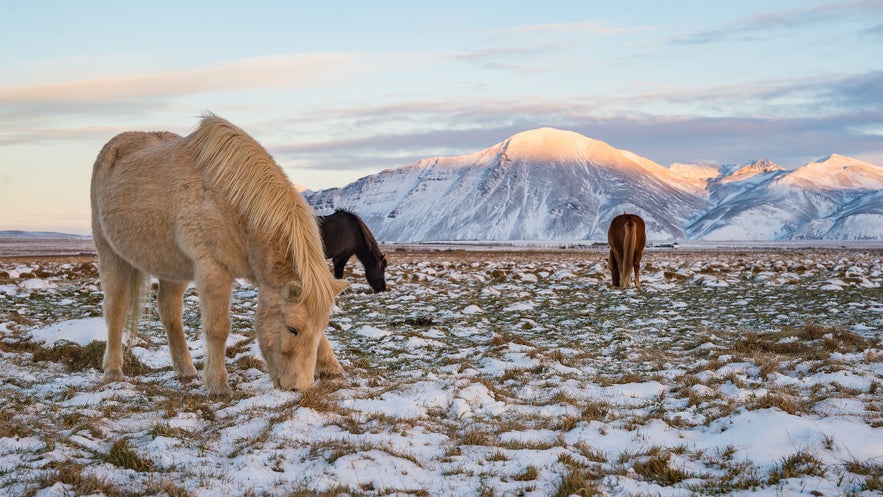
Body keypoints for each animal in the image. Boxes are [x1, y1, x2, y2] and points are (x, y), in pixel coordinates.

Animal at [91, 114, 348, 398]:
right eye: (292, 328)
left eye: (321, 327)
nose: (297, 387)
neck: (234, 204)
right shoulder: (212, 269)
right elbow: (218, 327)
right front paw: (218, 385)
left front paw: (332, 368)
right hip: (111, 256)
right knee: (115, 310)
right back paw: (113, 371)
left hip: (172, 268)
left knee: (170, 312)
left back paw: (186, 371)